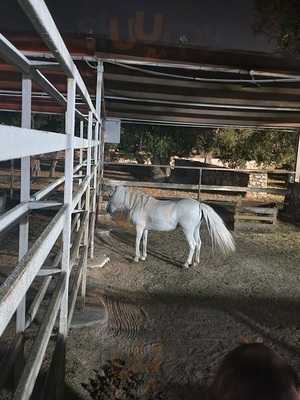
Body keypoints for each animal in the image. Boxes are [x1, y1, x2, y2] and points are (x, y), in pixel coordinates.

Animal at [106, 187, 236, 268]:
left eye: (111, 196)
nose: (107, 210)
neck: (138, 204)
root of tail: (199, 205)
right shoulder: (145, 229)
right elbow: (144, 241)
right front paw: (143, 257)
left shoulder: (139, 228)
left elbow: (137, 242)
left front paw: (136, 258)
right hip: (195, 230)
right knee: (199, 243)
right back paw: (195, 262)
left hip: (188, 231)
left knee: (193, 245)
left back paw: (186, 264)